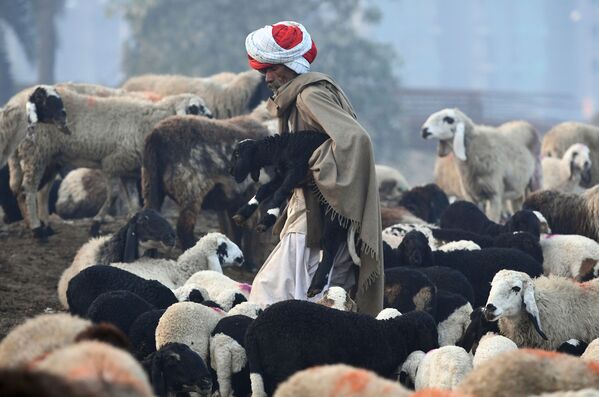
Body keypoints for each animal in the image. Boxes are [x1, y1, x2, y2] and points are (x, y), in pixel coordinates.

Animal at [230, 131, 352, 296]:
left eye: (237, 154)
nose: (230, 172)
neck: (284, 147)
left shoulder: (297, 171)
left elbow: (279, 193)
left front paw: (267, 219)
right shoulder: (281, 175)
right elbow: (264, 189)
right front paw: (243, 214)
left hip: (334, 213)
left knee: (329, 245)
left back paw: (316, 285)